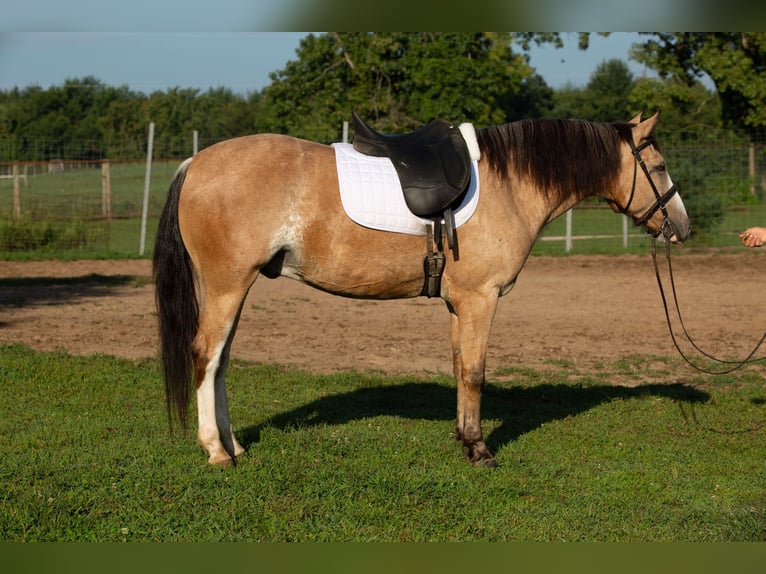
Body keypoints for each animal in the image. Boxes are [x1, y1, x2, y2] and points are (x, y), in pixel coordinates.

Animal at [152, 112, 690, 468]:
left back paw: (235, 444)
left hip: (234, 288)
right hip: (226, 286)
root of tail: (194, 163)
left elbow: (458, 367)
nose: (683, 227)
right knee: (206, 355)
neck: (509, 184)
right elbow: (475, 372)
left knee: (220, 361)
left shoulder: (460, 305)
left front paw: (463, 438)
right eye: (661, 166)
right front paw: (479, 449)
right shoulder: (480, 300)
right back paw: (217, 452)